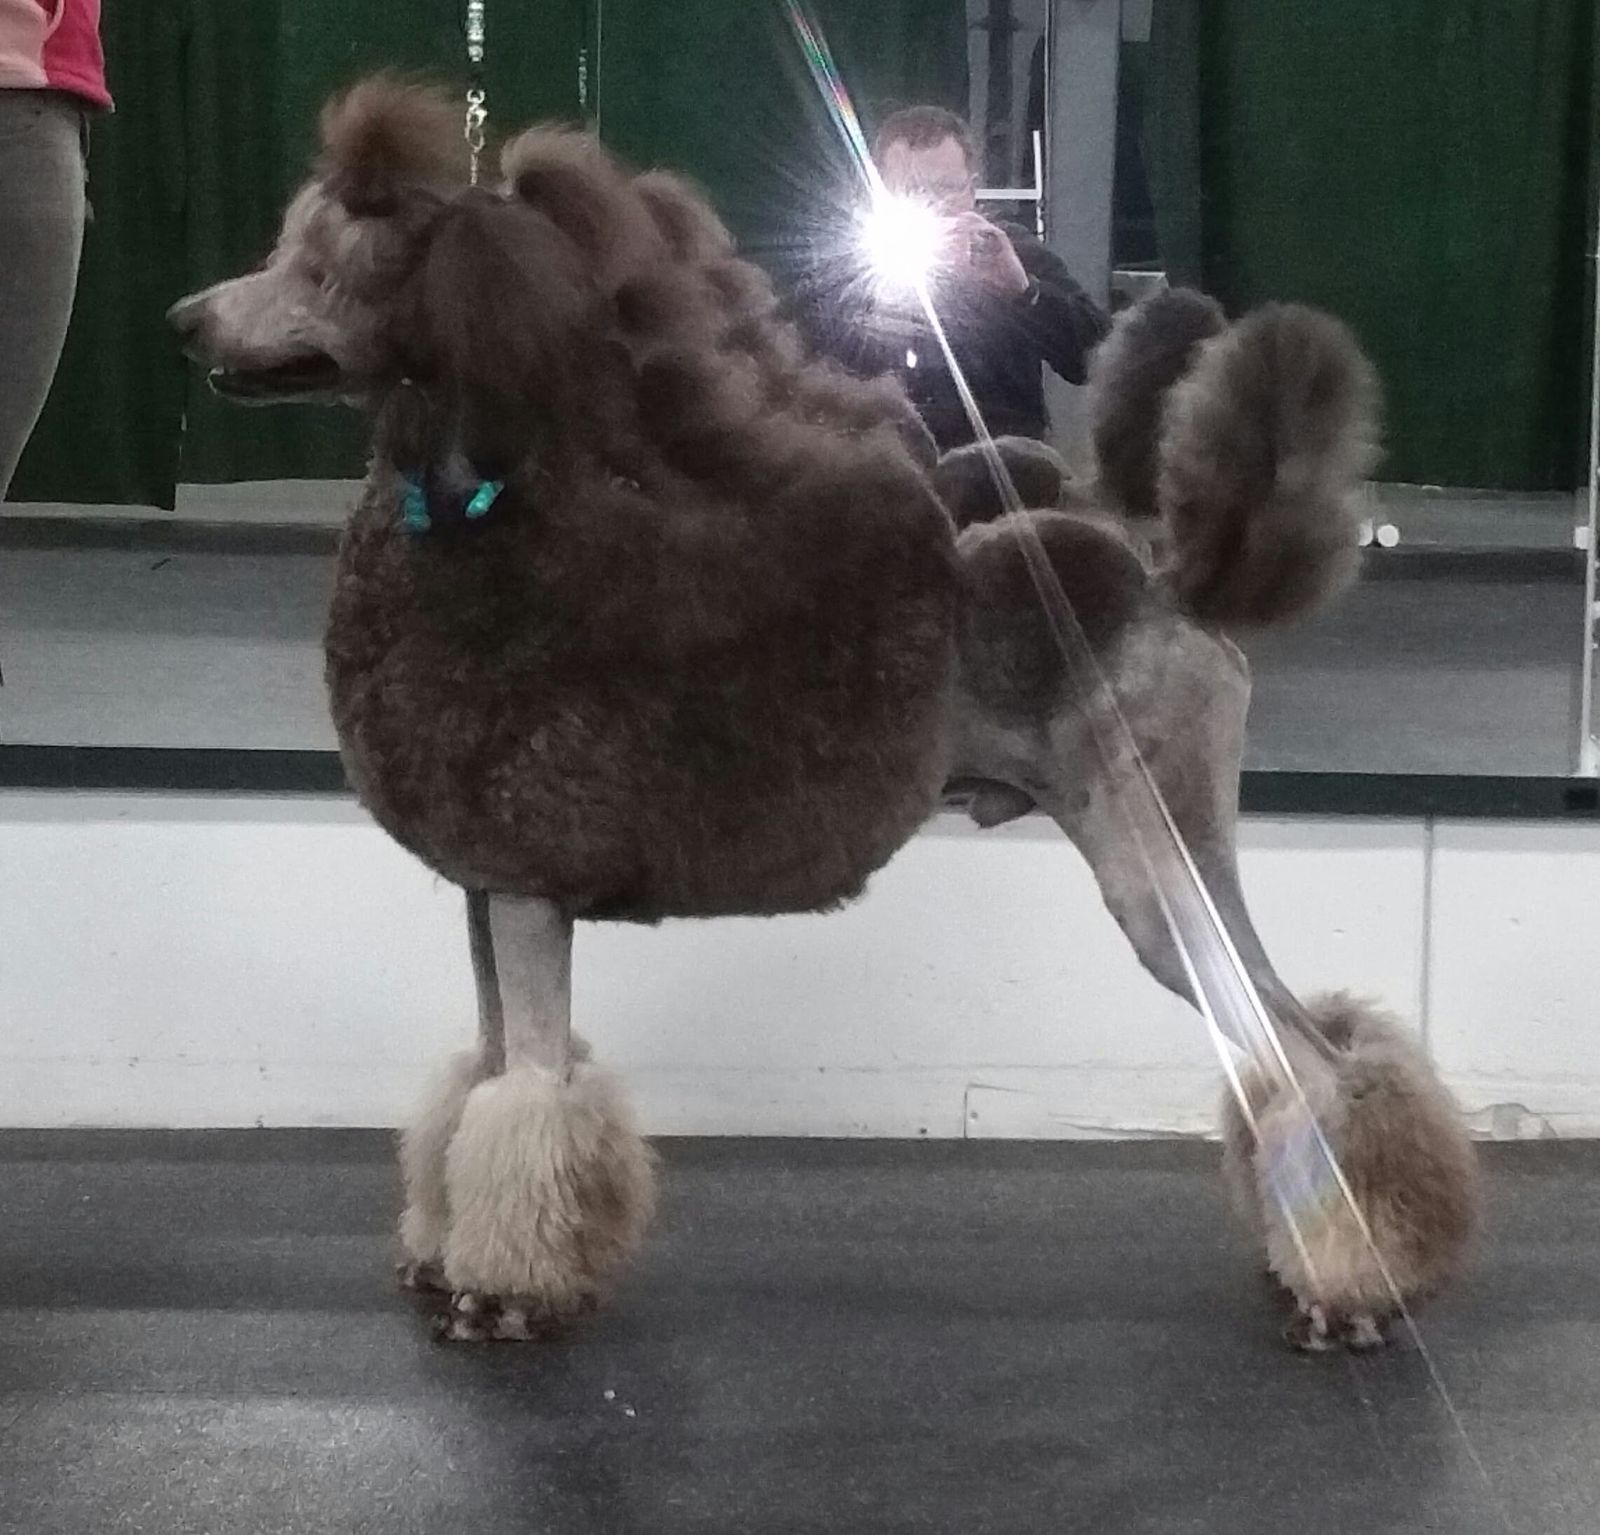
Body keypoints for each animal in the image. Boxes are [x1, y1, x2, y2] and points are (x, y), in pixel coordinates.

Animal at [168, 76, 1477, 1347]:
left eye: (322, 267)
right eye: (285, 248)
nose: (186, 320)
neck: (500, 536)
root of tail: (1165, 580)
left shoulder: (531, 883)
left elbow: (530, 1093)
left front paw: (505, 1294)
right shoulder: (492, 889)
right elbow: (482, 1076)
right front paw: (445, 1256)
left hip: (1156, 855)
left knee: (1306, 1060)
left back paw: (1350, 1289)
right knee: (1307, 1046)